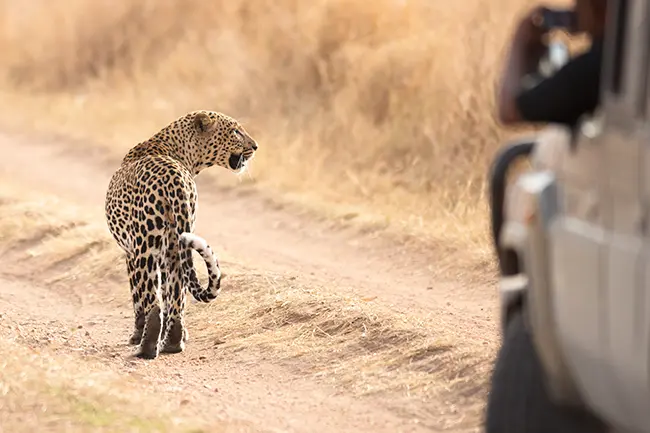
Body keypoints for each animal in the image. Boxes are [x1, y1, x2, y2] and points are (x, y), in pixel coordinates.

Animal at [103, 110, 256, 358]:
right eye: (235, 131)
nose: (256, 146)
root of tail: (173, 176)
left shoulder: (129, 252)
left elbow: (137, 296)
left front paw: (135, 334)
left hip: (145, 245)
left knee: (152, 300)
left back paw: (145, 347)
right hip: (177, 243)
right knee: (176, 292)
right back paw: (173, 342)